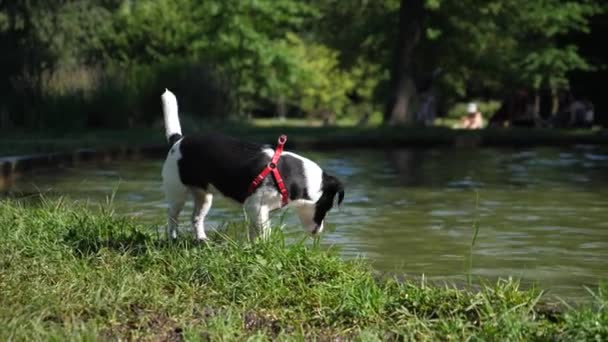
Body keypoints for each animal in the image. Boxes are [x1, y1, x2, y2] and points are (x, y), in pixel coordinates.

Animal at [159, 89, 344, 239]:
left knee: (196, 218)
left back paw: (202, 240)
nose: (320, 232)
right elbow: (264, 234)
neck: (294, 175)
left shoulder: (258, 212)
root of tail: (178, 140)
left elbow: (255, 233)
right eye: (326, 208)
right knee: (172, 217)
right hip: (177, 193)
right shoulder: (256, 207)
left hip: (204, 197)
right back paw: (173, 239)